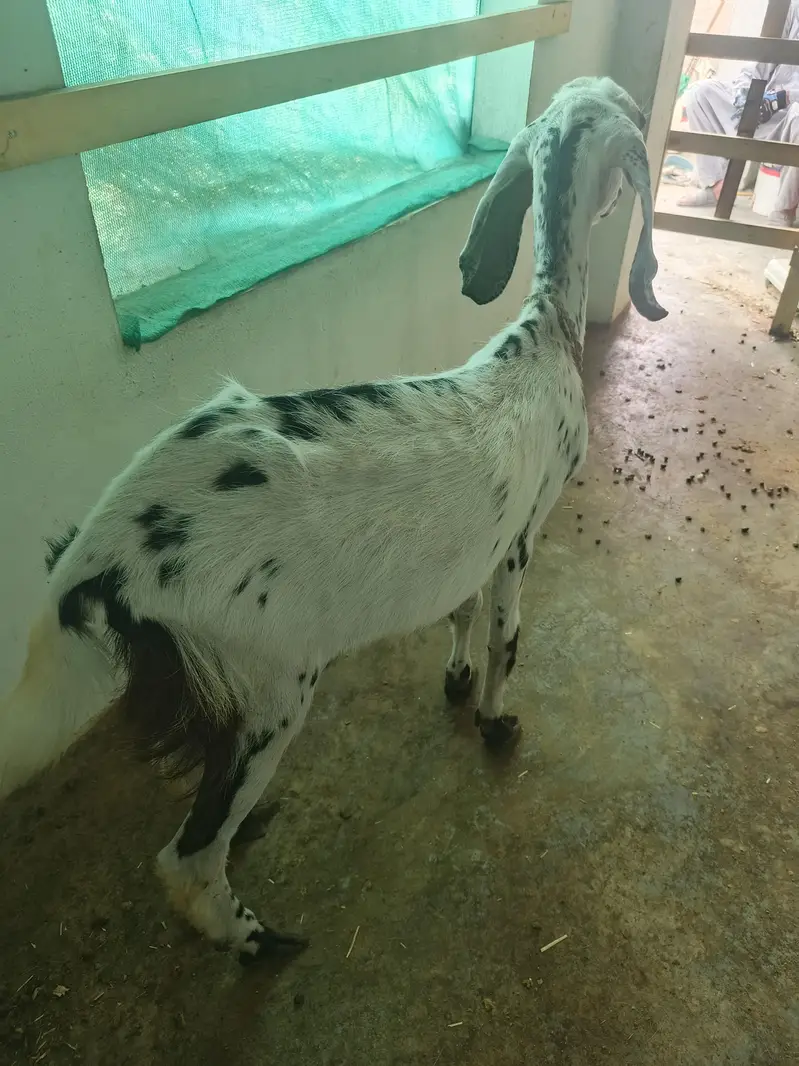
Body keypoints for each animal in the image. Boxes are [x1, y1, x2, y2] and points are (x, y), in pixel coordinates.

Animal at [0, 76, 667, 964]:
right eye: (630, 109)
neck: (536, 342)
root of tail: (93, 562)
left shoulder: (476, 543)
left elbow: (459, 612)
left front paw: (455, 681)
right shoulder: (522, 537)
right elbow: (507, 638)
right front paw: (495, 721)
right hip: (271, 682)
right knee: (187, 855)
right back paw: (254, 939)